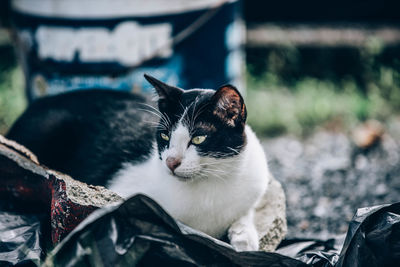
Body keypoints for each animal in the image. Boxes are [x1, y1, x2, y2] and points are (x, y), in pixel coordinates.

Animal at [7, 74, 272, 252]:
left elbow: (244, 211)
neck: (209, 184)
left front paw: (244, 237)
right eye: (164, 136)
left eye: (198, 138)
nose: (171, 162)